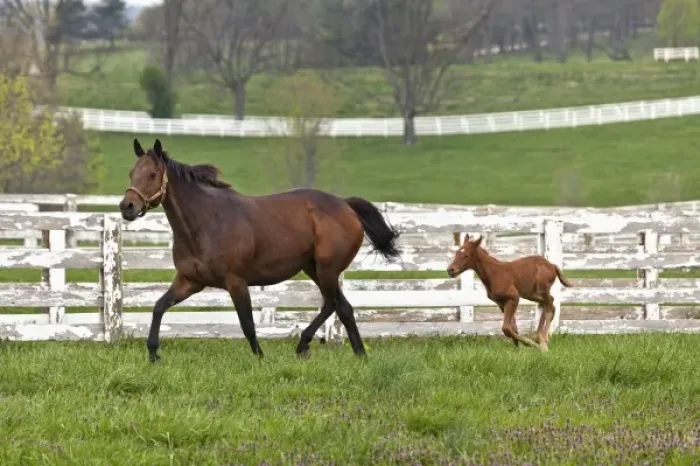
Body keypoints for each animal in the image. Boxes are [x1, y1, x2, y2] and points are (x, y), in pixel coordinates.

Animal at [119, 138, 401, 362]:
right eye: (131, 173)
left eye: (152, 174)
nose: (126, 207)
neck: (206, 222)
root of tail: (345, 205)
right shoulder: (189, 281)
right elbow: (158, 307)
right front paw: (153, 353)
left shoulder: (235, 282)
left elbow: (247, 325)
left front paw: (260, 358)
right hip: (314, 269)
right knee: (344, 308)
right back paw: (360, 355)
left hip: (327, 269)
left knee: (331, 304)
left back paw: (303, 344)